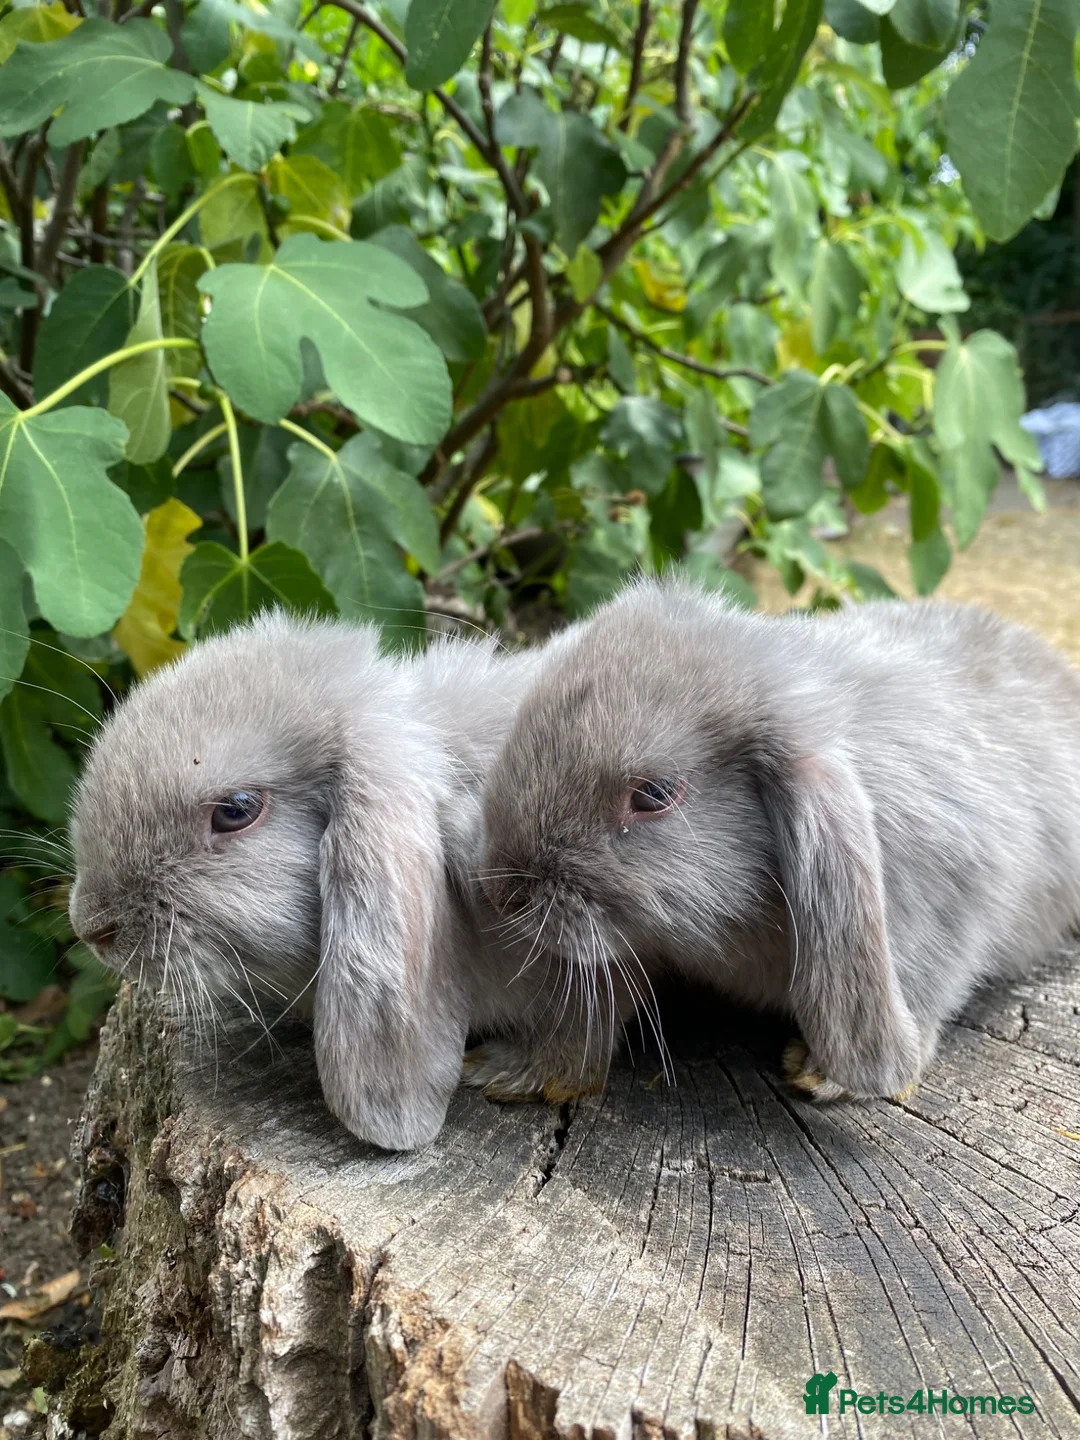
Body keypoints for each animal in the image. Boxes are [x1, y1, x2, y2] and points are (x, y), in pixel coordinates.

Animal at [475, 578, 1080, 1105]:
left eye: (653, 795)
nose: (503, 892)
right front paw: (508, 1071)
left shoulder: (947, 914)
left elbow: (924, 988)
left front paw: (823, 1077)